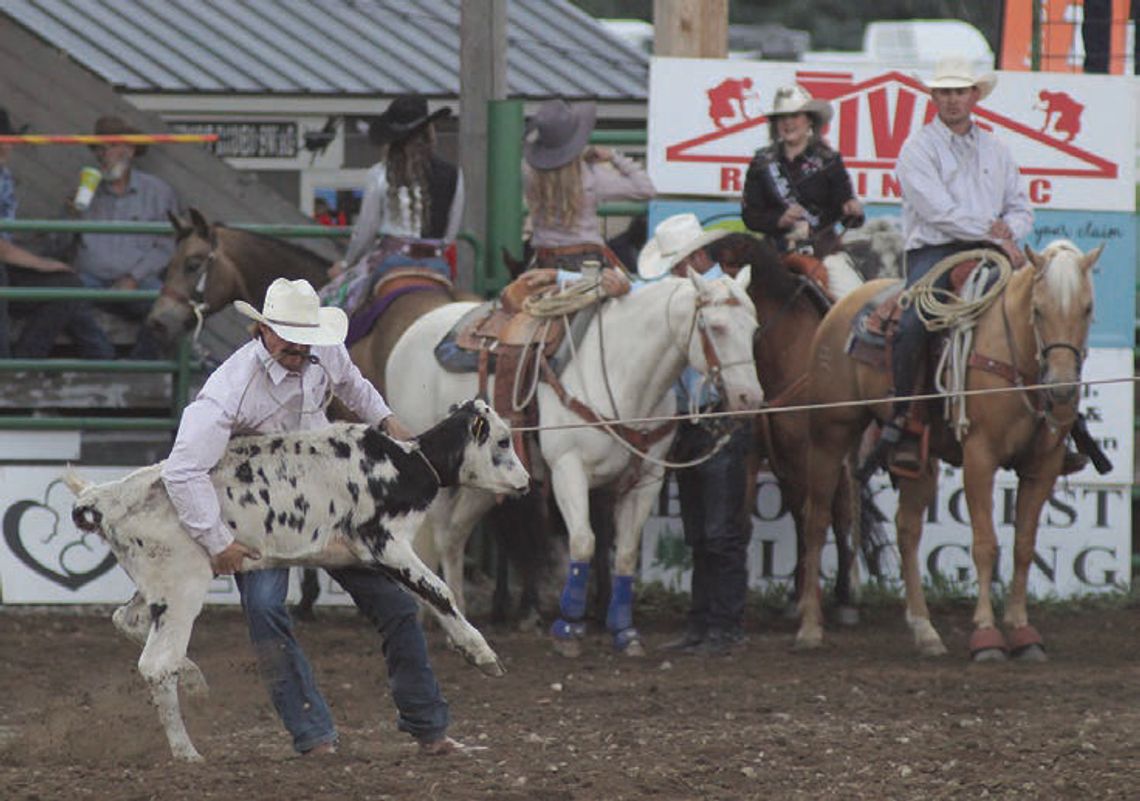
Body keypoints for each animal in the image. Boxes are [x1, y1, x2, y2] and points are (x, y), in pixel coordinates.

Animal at [68, 401, 531, 765]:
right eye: (502, 441)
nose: (526, 483)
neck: (404, 465)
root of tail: (105, 498)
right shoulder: (385, 543)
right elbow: (440, 591)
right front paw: (482, 654)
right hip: (182, 588)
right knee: (156, 663)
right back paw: (187, 752)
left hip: (157, 588)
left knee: (126, 621)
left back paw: (195, 680)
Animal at [385, 271, 766, 656]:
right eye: (716, 327)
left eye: (753, 329)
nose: (750, 399)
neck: (621, 373)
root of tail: (414, 330)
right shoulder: (569, 469)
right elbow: (583, 542)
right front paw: (568, 629)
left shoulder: (648, 477)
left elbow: (625, 553)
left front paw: (624, 632)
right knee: (438, 534)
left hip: (485, 482)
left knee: (454, 535)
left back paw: (459, 620)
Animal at [798, 241, 1098, 660]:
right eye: (1038, 310)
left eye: (1087, 309)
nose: (1062, 390)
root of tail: (842, 303)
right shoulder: (980, 458)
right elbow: (985, 545)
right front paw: (987, 634)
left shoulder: (1044, 465)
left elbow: (1024, 546)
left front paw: (1022, 630)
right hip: (830, 434)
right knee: (816, 520)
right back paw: (810, 627)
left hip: (921, 460)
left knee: (907, 530)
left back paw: (925, 631)